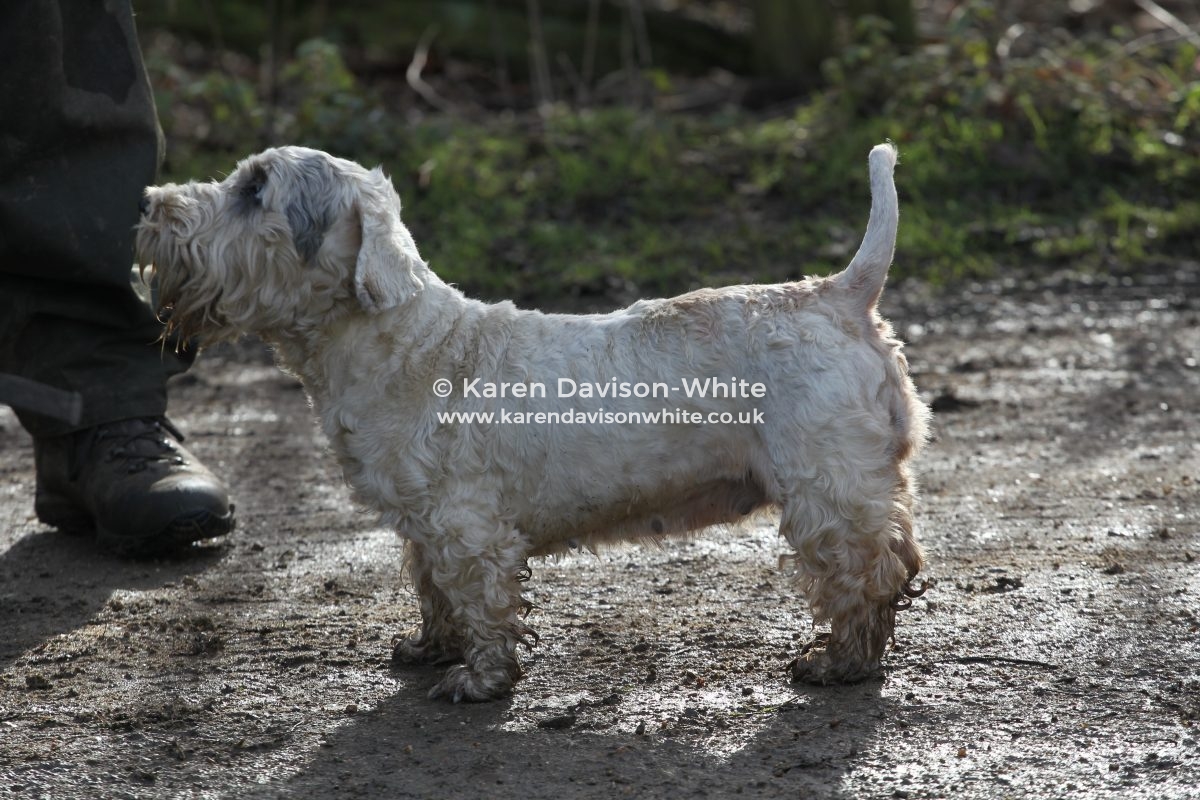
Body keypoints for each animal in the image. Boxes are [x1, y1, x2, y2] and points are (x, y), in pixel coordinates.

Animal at [138, 142, 926, 700]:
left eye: (254, 189)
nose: (151, 205)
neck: (407, 345)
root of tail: (840, 293)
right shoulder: (423, 527)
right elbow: (435, 593)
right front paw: (429, 650)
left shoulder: (468, 528)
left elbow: (481, 604)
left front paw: (478, 681)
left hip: (825, 493)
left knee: (867, 575)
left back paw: (840, 663)